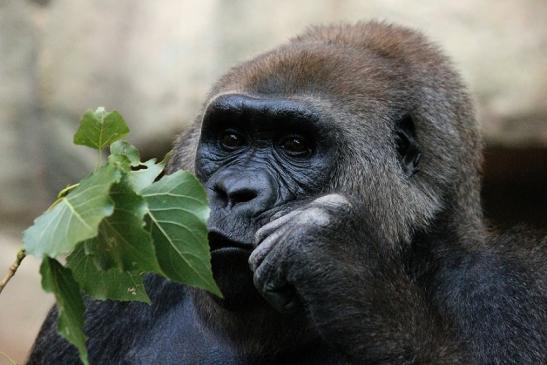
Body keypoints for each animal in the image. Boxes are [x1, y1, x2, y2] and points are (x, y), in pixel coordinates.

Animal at [28, 21, 547, 362]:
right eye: (231, 139)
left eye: (295, 145)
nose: (234, 191)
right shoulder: (106, 298)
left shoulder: (517, 288)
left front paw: (345, 269)